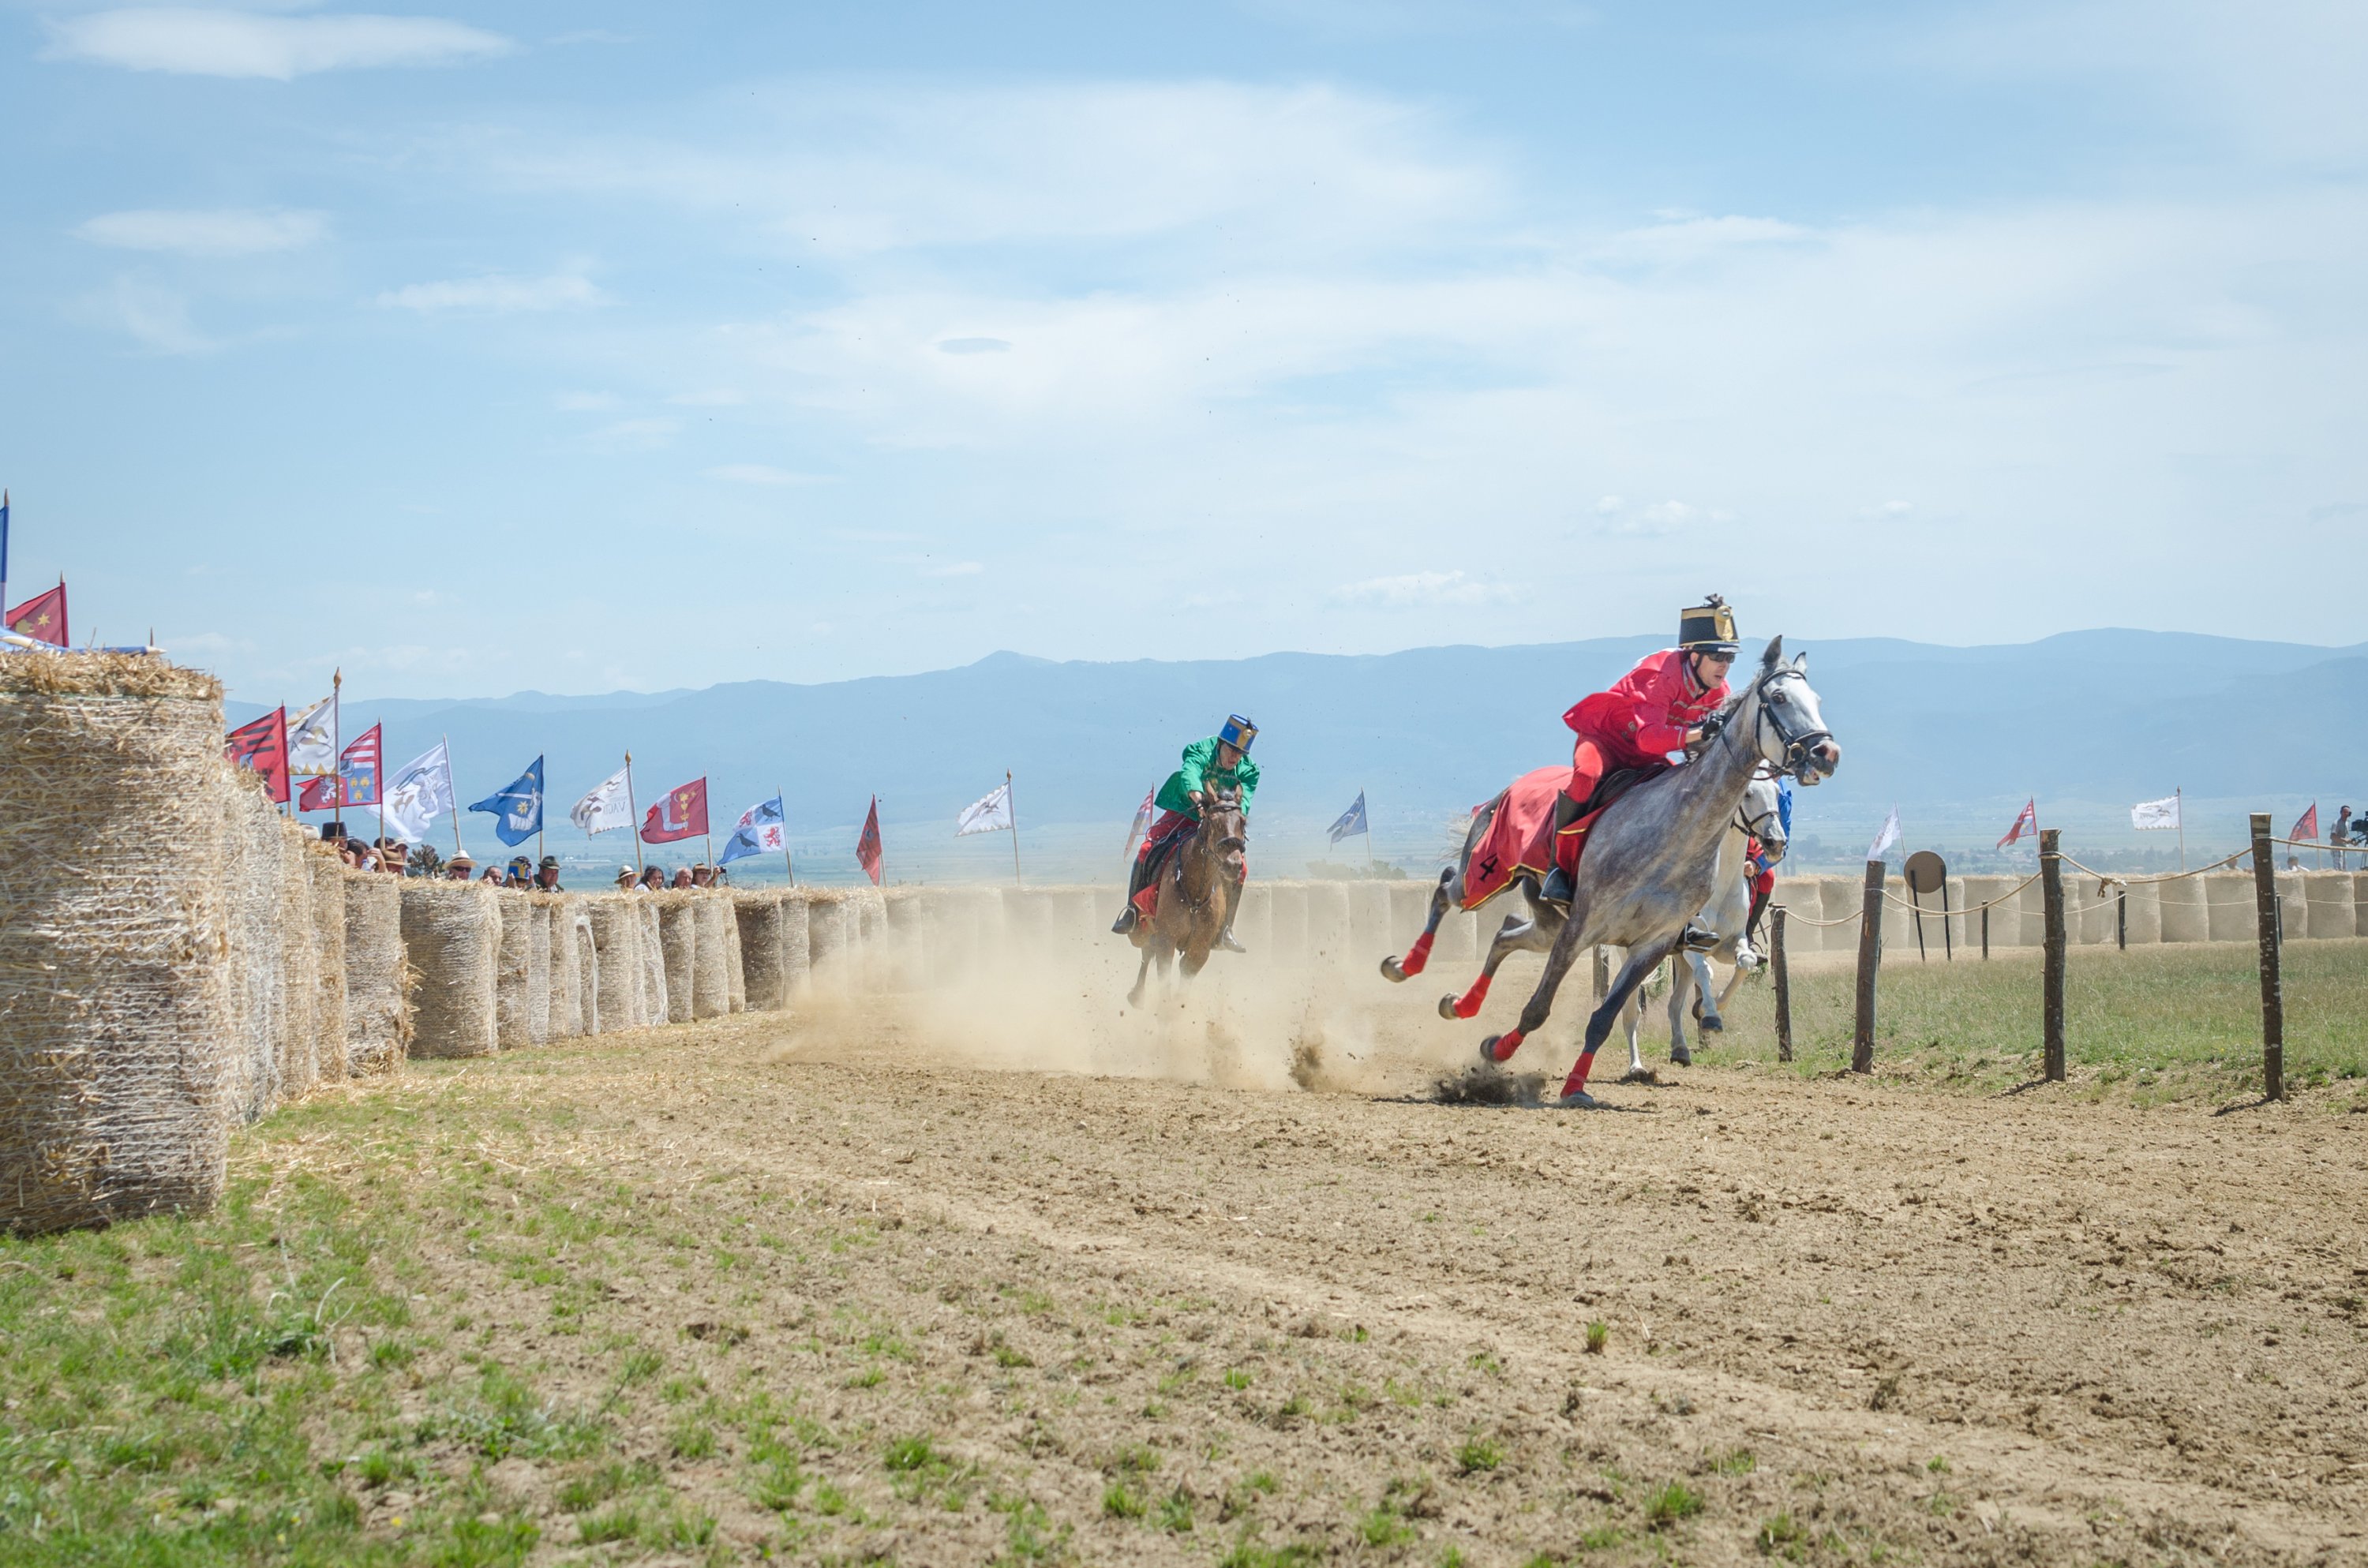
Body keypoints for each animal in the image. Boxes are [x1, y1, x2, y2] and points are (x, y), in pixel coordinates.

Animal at [1122, 786, 1250, 1009]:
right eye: (1213, 820)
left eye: (1242, 821)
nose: (1233, 864)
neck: (1195, 895)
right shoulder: (1166, 941)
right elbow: (1164, 979)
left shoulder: (1199, 950)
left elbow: (1183, 983)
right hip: (1141, 931)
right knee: (1146, 953)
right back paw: (1136, 996)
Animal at [1468, 634, 1838, 1103]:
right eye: (1779, 697)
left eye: (1817, 699)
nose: (1827, 753)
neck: (1673, 845)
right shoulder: (1582, 928)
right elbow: (1539, 1008)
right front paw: (1496, 1051)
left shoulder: (1657, 943)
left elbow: (1606, 1018)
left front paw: (1576, 1087)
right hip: (1560, 919)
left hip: (1570, 930)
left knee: (1508, 934)